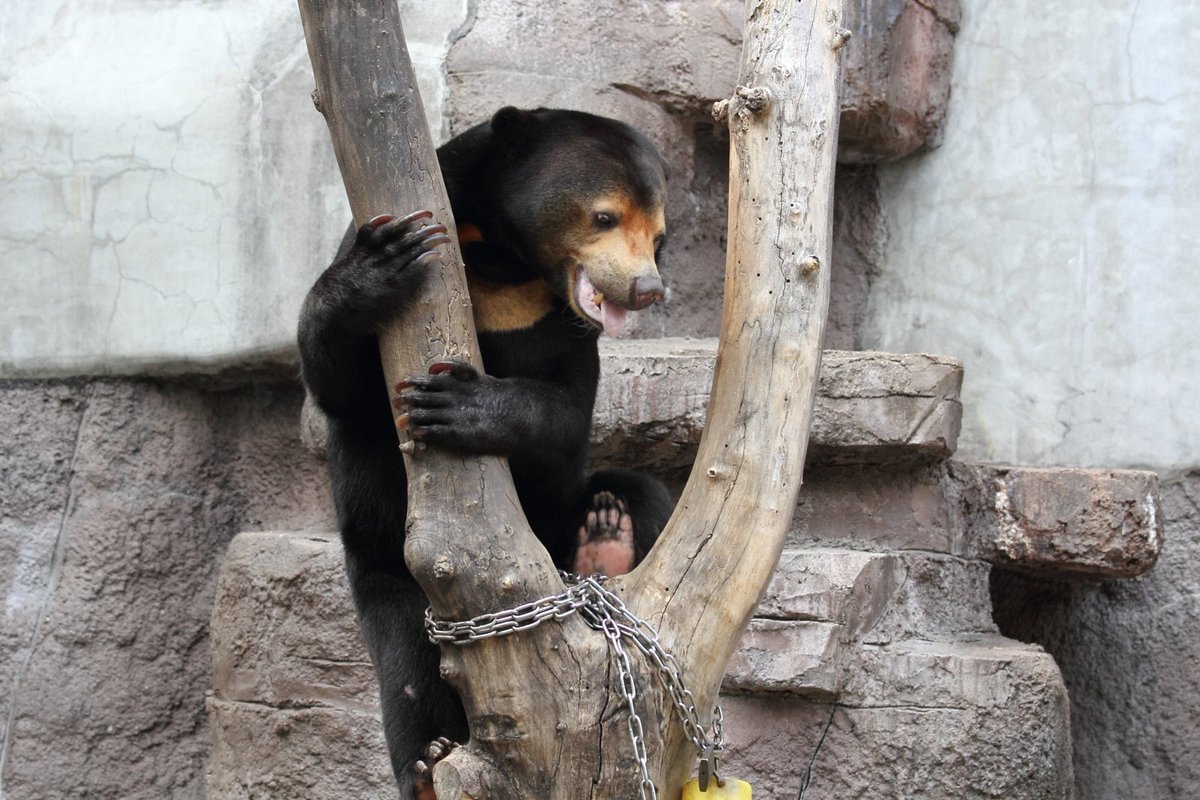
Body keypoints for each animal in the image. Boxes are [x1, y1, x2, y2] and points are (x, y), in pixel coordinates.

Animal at [297, 107, 676, 800]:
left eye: (658, 234)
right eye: (605, 216)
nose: (644, 288)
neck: (504, 262)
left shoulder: (555, 323)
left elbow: (565, 410)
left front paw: (457, 405)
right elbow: (338, 380)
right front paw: (386, 259)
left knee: (641, 494)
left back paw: (605, 535)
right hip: (389, 570)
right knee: (407, 664)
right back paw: (426, 762)